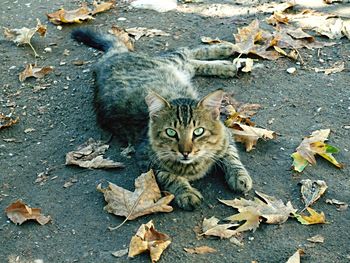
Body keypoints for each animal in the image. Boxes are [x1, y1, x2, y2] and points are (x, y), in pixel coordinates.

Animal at [72, 28, 252, 210]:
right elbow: (170, 177)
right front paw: (186, 193)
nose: (186, 151)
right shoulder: (147, 161)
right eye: (171, 133)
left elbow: (232, 158)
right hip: (175, 65)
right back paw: (225, 63)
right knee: (188, 58)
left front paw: (240, 177)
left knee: (186, 51)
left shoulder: (226, 137)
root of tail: (108, 58)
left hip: (173, 61)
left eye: (199, 132)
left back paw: (224, 50)